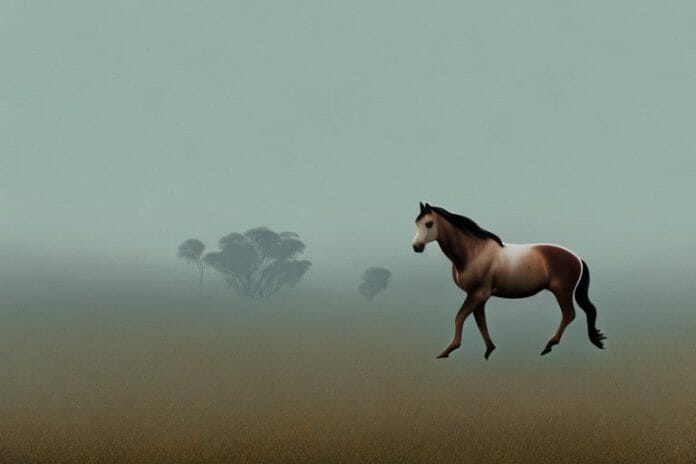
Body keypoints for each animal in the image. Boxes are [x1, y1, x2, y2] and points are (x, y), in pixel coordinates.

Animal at [411, 202, 606, 359]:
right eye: (417, 223)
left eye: (429, 224)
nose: (416, 247)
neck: (473, 253)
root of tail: (577, 258)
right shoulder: (479, 296)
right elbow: (480, 320)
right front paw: (489, 350)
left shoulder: (477, 294)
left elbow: (460, 317)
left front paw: (447, 351)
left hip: (562, 292)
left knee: (569, 314)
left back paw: (548, 346)